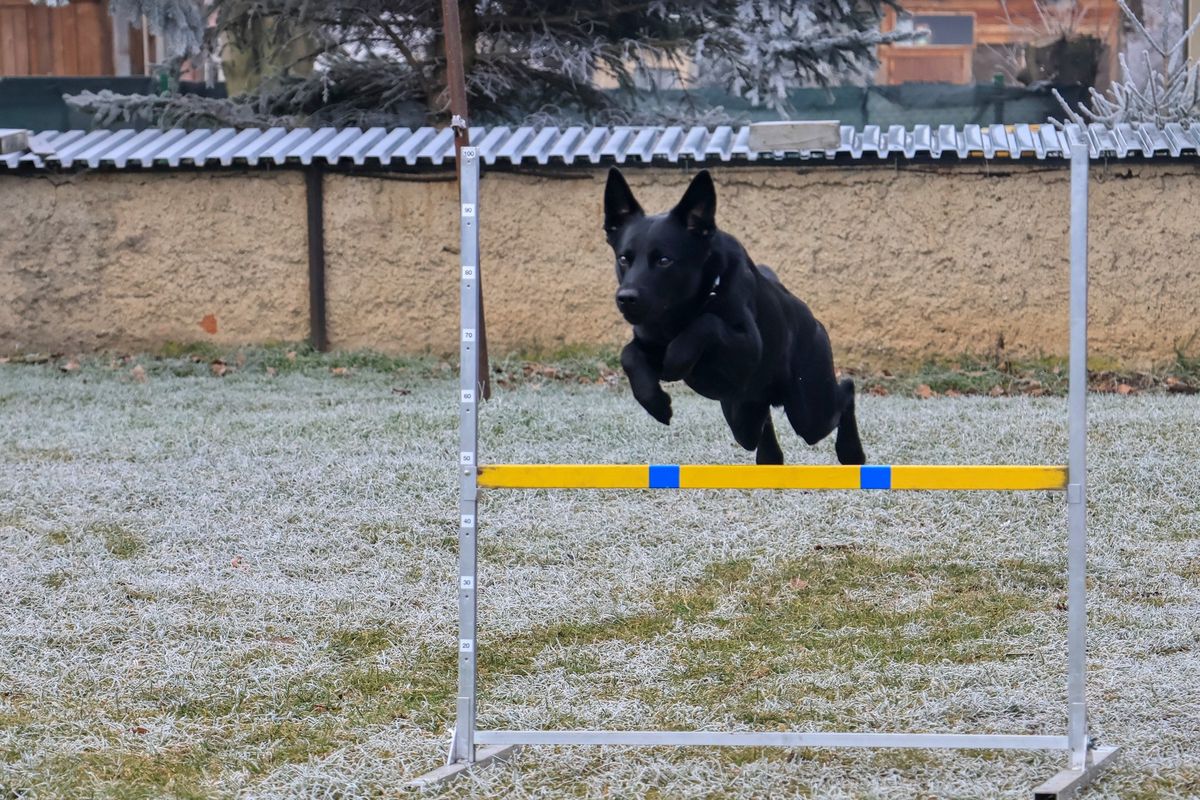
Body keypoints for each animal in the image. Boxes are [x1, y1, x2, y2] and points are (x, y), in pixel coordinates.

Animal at [609, 170, 864, 470]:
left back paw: (852, 452)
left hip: (810, 410)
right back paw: (770, 458)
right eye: (624, 258)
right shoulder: (647, 341)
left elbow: (707, 323)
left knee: (845, 391)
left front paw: (676, 360)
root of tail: (812, 319)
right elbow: (629, 354)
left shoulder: (749, 347)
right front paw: (656, 403)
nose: (626, 298)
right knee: (761, 426)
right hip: (742, 415)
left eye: (664, 260)